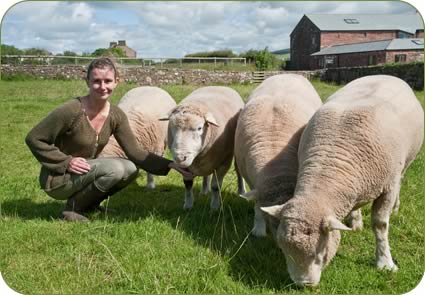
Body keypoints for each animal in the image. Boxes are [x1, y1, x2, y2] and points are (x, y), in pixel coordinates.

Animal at [260, 75, 422, 288]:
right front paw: (355, 223)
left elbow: (380, 224)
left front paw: (385, 262)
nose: (303, 284)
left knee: (401, 180)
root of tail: (384, 75)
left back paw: (395, 207)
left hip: (404, 165)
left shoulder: (388, 185)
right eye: (284, 250)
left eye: (320, 252)